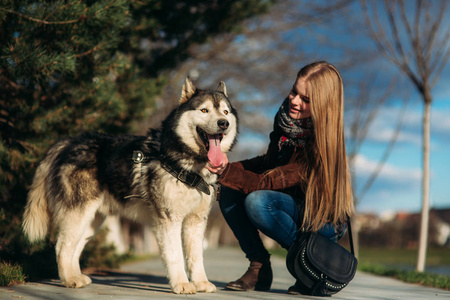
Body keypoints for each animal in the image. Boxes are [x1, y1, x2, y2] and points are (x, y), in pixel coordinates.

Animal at [22, 77, 239, 292]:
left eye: (225, 111)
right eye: (204, 110)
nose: (224, 123)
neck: (187, 165)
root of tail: (68, 142)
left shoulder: (196, 221)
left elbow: (196, 257)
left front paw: (201, 282)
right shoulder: (169, 219)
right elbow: (175, 256)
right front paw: (182, 284)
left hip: (91, 221)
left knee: (74, 248)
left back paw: (76, 276)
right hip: (78, 214)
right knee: (62, 247)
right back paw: (69, 280)